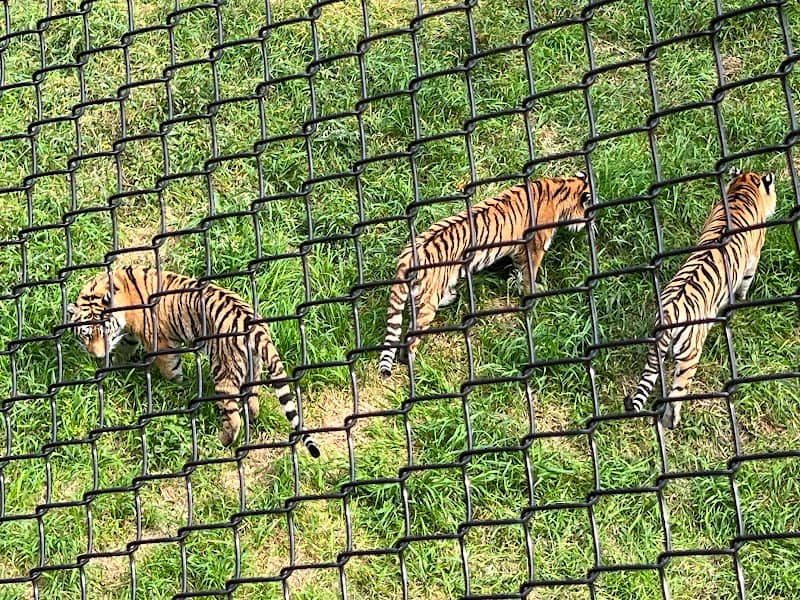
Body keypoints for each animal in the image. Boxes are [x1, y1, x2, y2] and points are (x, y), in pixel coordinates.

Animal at [68, 266, 320, 457]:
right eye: (86, 335)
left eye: (103, 332)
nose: (97, 356)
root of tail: (254, 325)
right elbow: (124, 350)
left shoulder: (161, 344)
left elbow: (171, 370)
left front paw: (176, 388)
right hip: (253, 366)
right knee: (253, 399)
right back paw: (252, 418)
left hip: (224, 370)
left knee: (233, 416)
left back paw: (222, 440)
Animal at [378, 172, 592, 378]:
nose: (592, 222)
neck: (561, 187)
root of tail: (407, 258)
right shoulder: (534, 247)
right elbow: (529, 274)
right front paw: (533, 292)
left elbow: (518, 270)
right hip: (427, 304)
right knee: (411, 338)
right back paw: (412, 360)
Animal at [624, 167, 777, 429]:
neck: (743, 189)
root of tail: (670, 314)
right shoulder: (753, 259)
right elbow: (744, 285)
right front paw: (741, 300)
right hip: (690, 357)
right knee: (677, 395)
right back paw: (672, 422)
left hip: (657, 350)